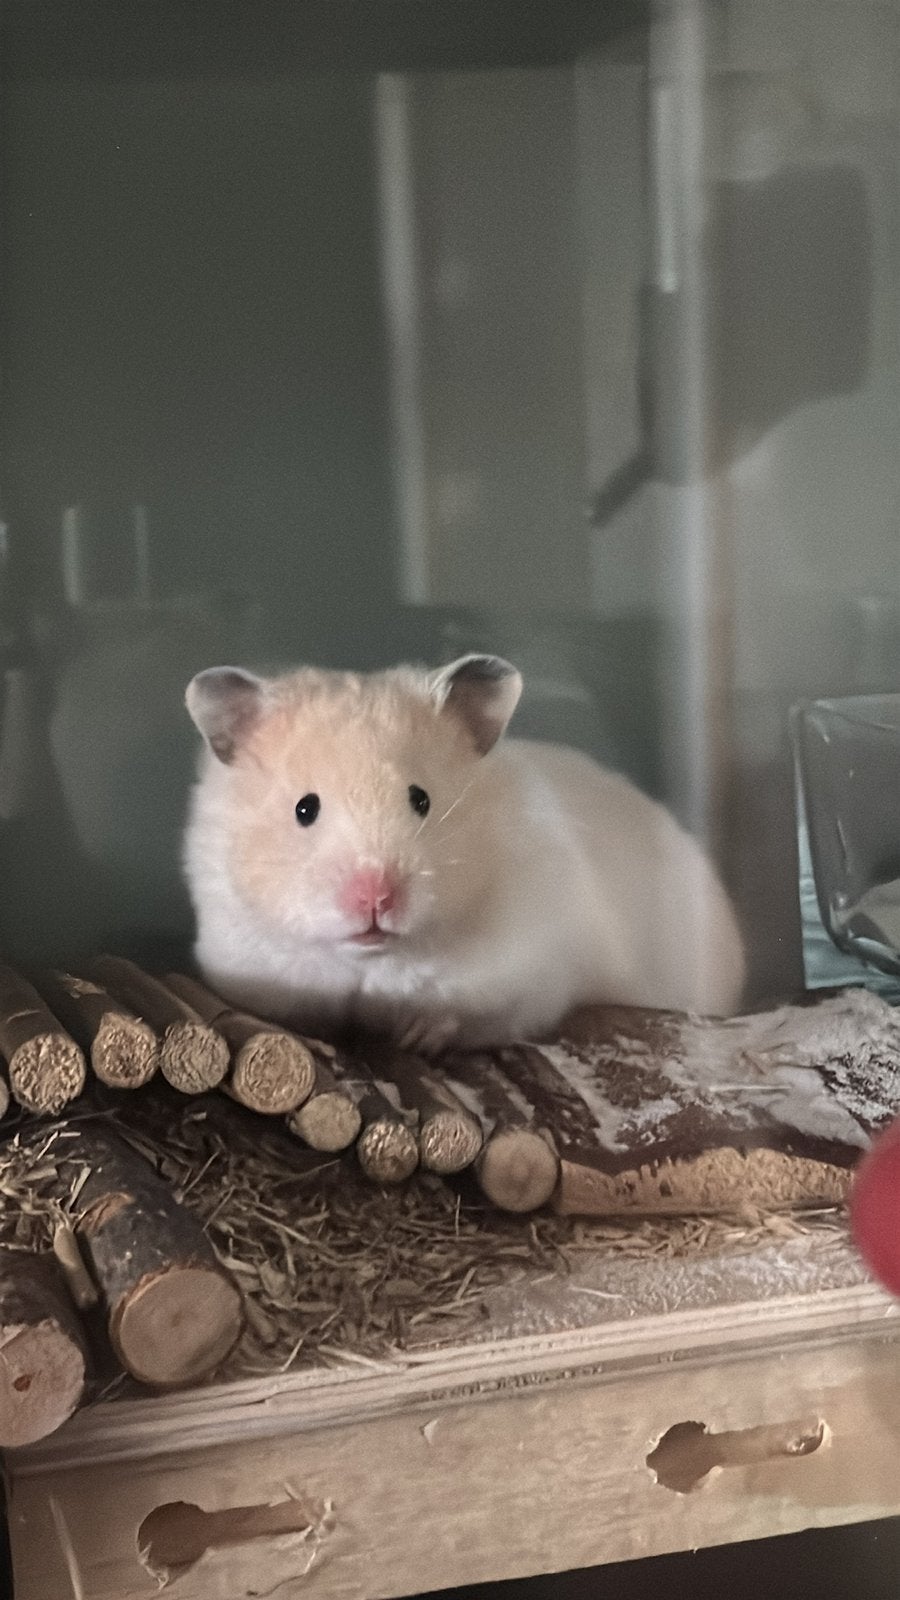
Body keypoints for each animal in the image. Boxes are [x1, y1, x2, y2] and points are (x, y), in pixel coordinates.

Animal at [183, 654, 745, 1051]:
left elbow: (463, 1013)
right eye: (305, 808)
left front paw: (416, 1036)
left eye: (421, 799)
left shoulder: (527, 976)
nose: (375, 898)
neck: (372, 960)